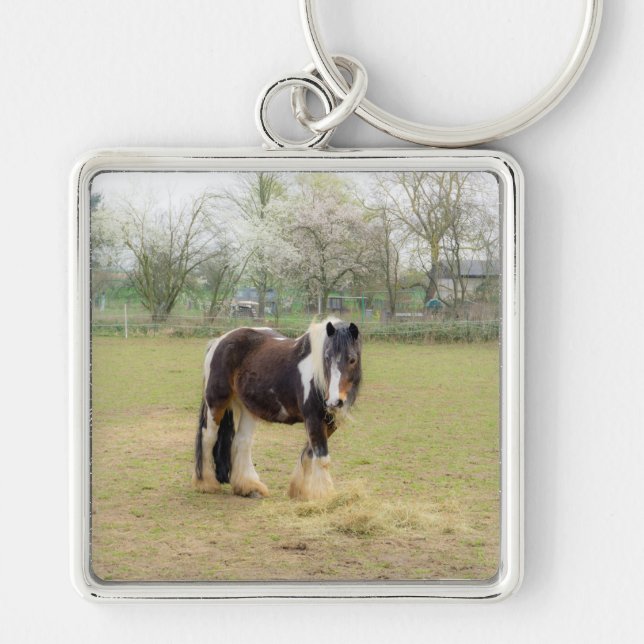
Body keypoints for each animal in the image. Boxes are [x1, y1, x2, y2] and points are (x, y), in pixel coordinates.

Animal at [192, 318, 362, 501]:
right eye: (327, 358)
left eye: (352, 360)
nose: (334, 401)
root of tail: (218, 341)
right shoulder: (313, 418)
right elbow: (322, 458)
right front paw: (325, 496)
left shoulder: (329, 422)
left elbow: (309, 453)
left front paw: (300, 490)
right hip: (216, 403)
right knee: (208, 437)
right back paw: (206, 483)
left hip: (248, 409)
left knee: (242, 441)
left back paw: (249, 487)